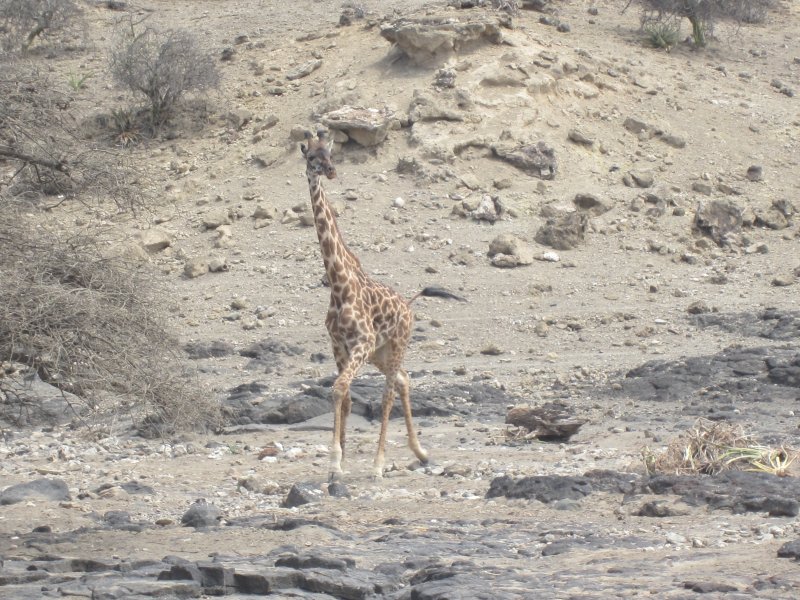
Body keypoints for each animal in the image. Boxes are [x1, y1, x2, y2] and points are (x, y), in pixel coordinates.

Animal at [300, 130, 465, 482]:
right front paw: (337, 464)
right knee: (403, 379)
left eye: (330, 153)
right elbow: (345, 396)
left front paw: (336, 460)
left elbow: (339, 388)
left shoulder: (360, 343)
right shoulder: (340, 346)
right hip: (381, 352)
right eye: (311, 157)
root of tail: (409, 304)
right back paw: (420, 452)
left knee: (389, 391)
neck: (339, 284)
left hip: (396, 344)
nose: (331, 171)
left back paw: (378, 465)